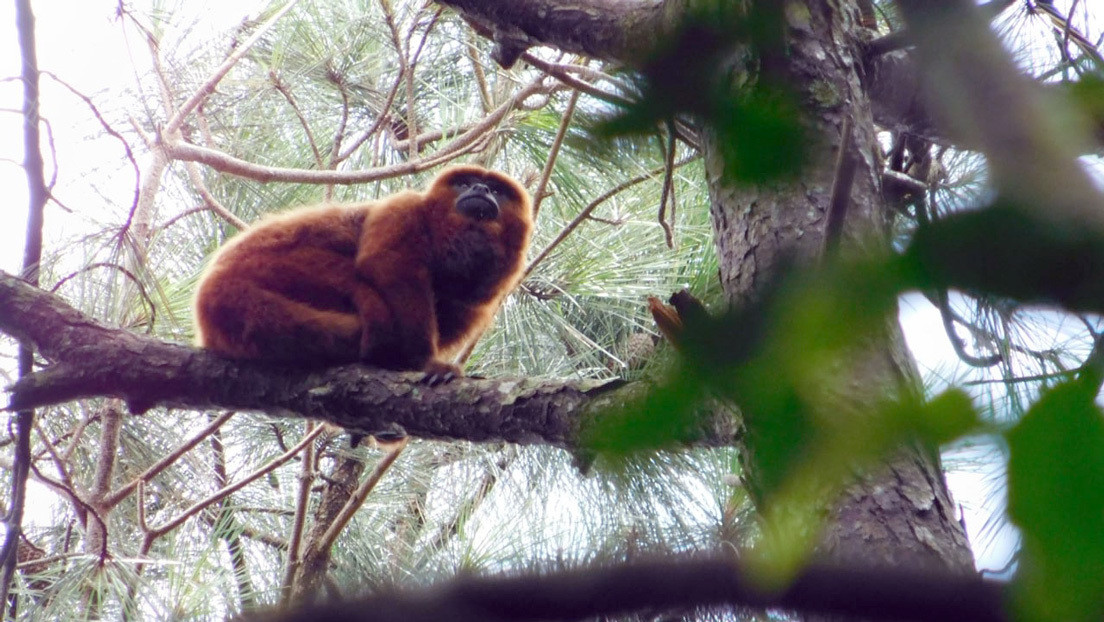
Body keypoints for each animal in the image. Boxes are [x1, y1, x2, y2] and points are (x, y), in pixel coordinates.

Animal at [192, 165, 532, 380]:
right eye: (464, 183)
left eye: (497, 190)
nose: (480, 187)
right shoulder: (403, 209)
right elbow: (388, 265)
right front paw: (424, 363)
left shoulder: (478, 301)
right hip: (274, 268)